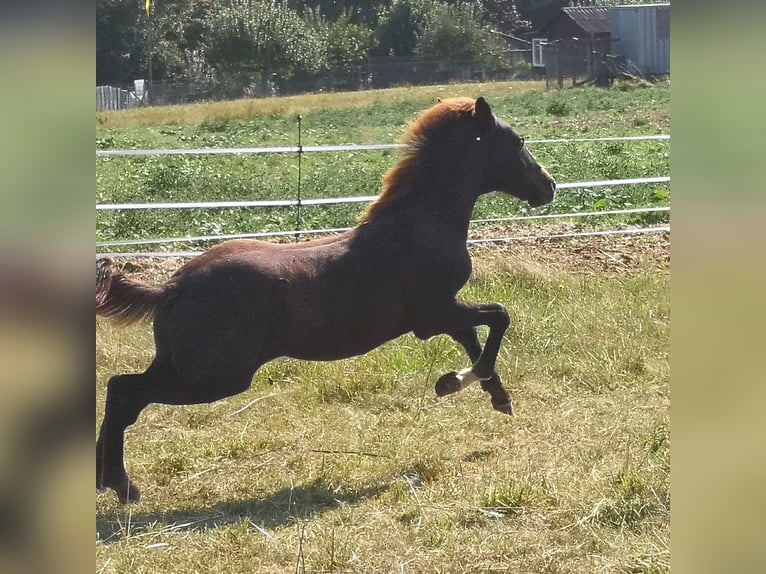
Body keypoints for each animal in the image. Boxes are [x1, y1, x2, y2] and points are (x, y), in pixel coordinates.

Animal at [97, 98, 560, 504]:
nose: (550, 186)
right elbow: (499, 319)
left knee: (120, 390)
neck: (419, 227)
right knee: (127, 394)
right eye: (516, 140)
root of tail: (172, 287)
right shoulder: (433, 315)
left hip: (183, 365)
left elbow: (477, 339)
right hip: (214, 376)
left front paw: (491, 395)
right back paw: (123, 487)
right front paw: (456, 384)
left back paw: (110, 482)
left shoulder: (445, 312)